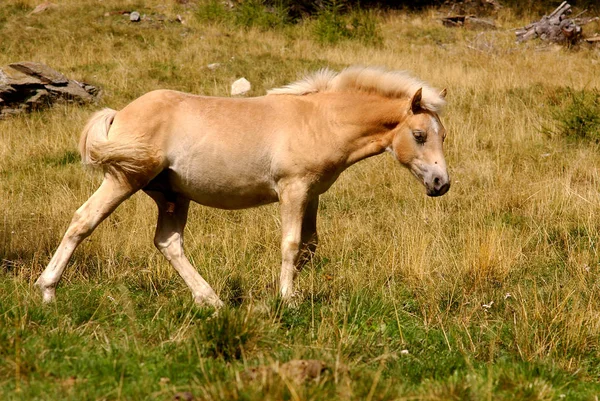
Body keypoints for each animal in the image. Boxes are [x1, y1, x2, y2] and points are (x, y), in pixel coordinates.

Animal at [34, 67, 450, 308]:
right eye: (419, 135)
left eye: (442, 135)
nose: (441, 183)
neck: (319, 121)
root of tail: (120, 114)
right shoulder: (293, 190)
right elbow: (291, 245)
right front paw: (287, 300)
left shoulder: (312, 195)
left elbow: (309, 247)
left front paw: (286, 293)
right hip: (124, 180)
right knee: (82, 221)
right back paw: (48, 291)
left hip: (171, 196)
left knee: (168, 243)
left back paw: (211, 301)